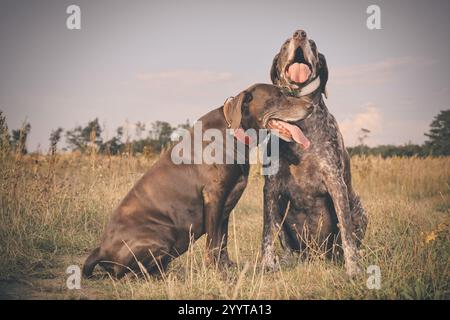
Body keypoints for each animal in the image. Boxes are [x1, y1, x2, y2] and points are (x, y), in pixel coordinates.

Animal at [84, 84, 314, 278]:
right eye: (279, 96)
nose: (311, 106)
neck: (235, 132)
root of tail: (101, 249)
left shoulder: (226, 205)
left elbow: (222, 240)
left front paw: (226, 266)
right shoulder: (214, 196)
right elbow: (213, 242)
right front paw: (217, 272)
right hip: (163, 234)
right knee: (128, 274)